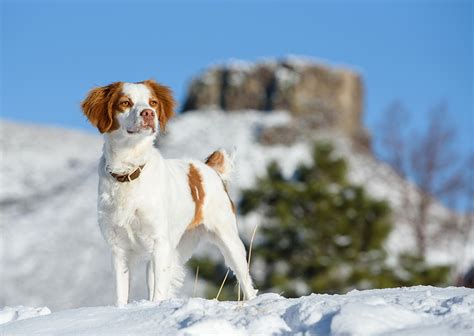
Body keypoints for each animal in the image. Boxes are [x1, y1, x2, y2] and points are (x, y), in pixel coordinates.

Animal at [83, 80, 258, 304]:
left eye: (153, 102)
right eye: (125, 102)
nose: (148, 113)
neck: (129, 172)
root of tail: (208, 168)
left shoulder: (159, 242)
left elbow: (159, 292)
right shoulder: (118, 248)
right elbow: (122, 295)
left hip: (229, 240)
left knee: (246, 283)